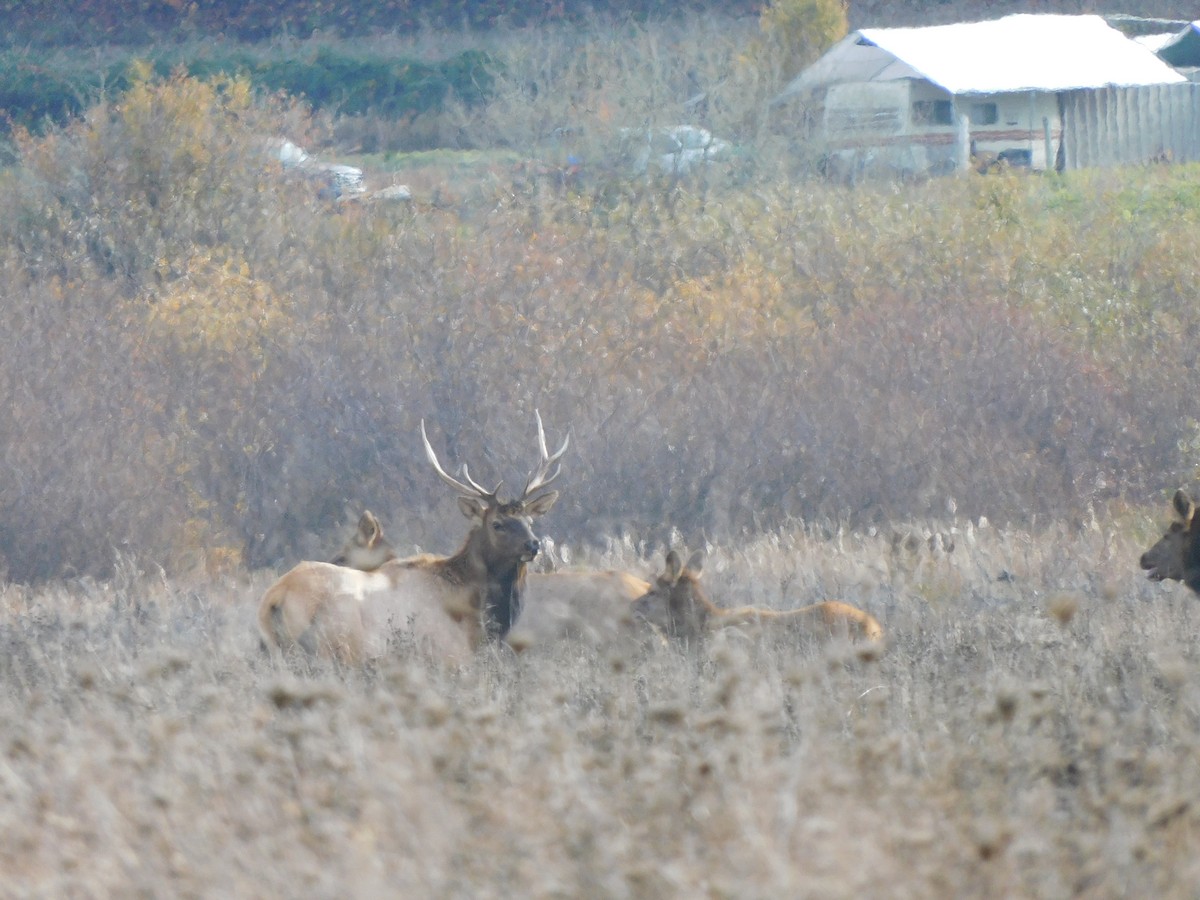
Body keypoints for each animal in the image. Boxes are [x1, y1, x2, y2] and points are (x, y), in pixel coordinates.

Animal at [257, 414, 567, 666]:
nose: (533, 545)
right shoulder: (449, 656)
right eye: (497, 524)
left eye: (529, 521)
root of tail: (274, 597)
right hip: (332, 650)